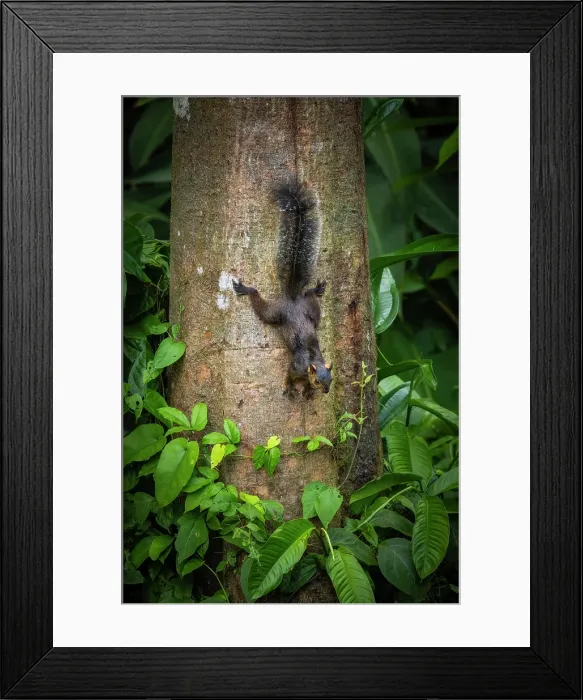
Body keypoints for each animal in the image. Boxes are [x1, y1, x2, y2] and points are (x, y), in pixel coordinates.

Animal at [233, 179, 333, 399]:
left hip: (311, 311)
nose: (327, 391)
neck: (312, 364)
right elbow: (288, 376)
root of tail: (293, 298)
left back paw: (316, 290)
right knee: (261, 306)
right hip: (275, 314)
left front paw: (307, 392)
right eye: (318, 380)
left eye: (331, 379)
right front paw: (290, 388)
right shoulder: (295, 368)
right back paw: (247, 289)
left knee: (310, 298)